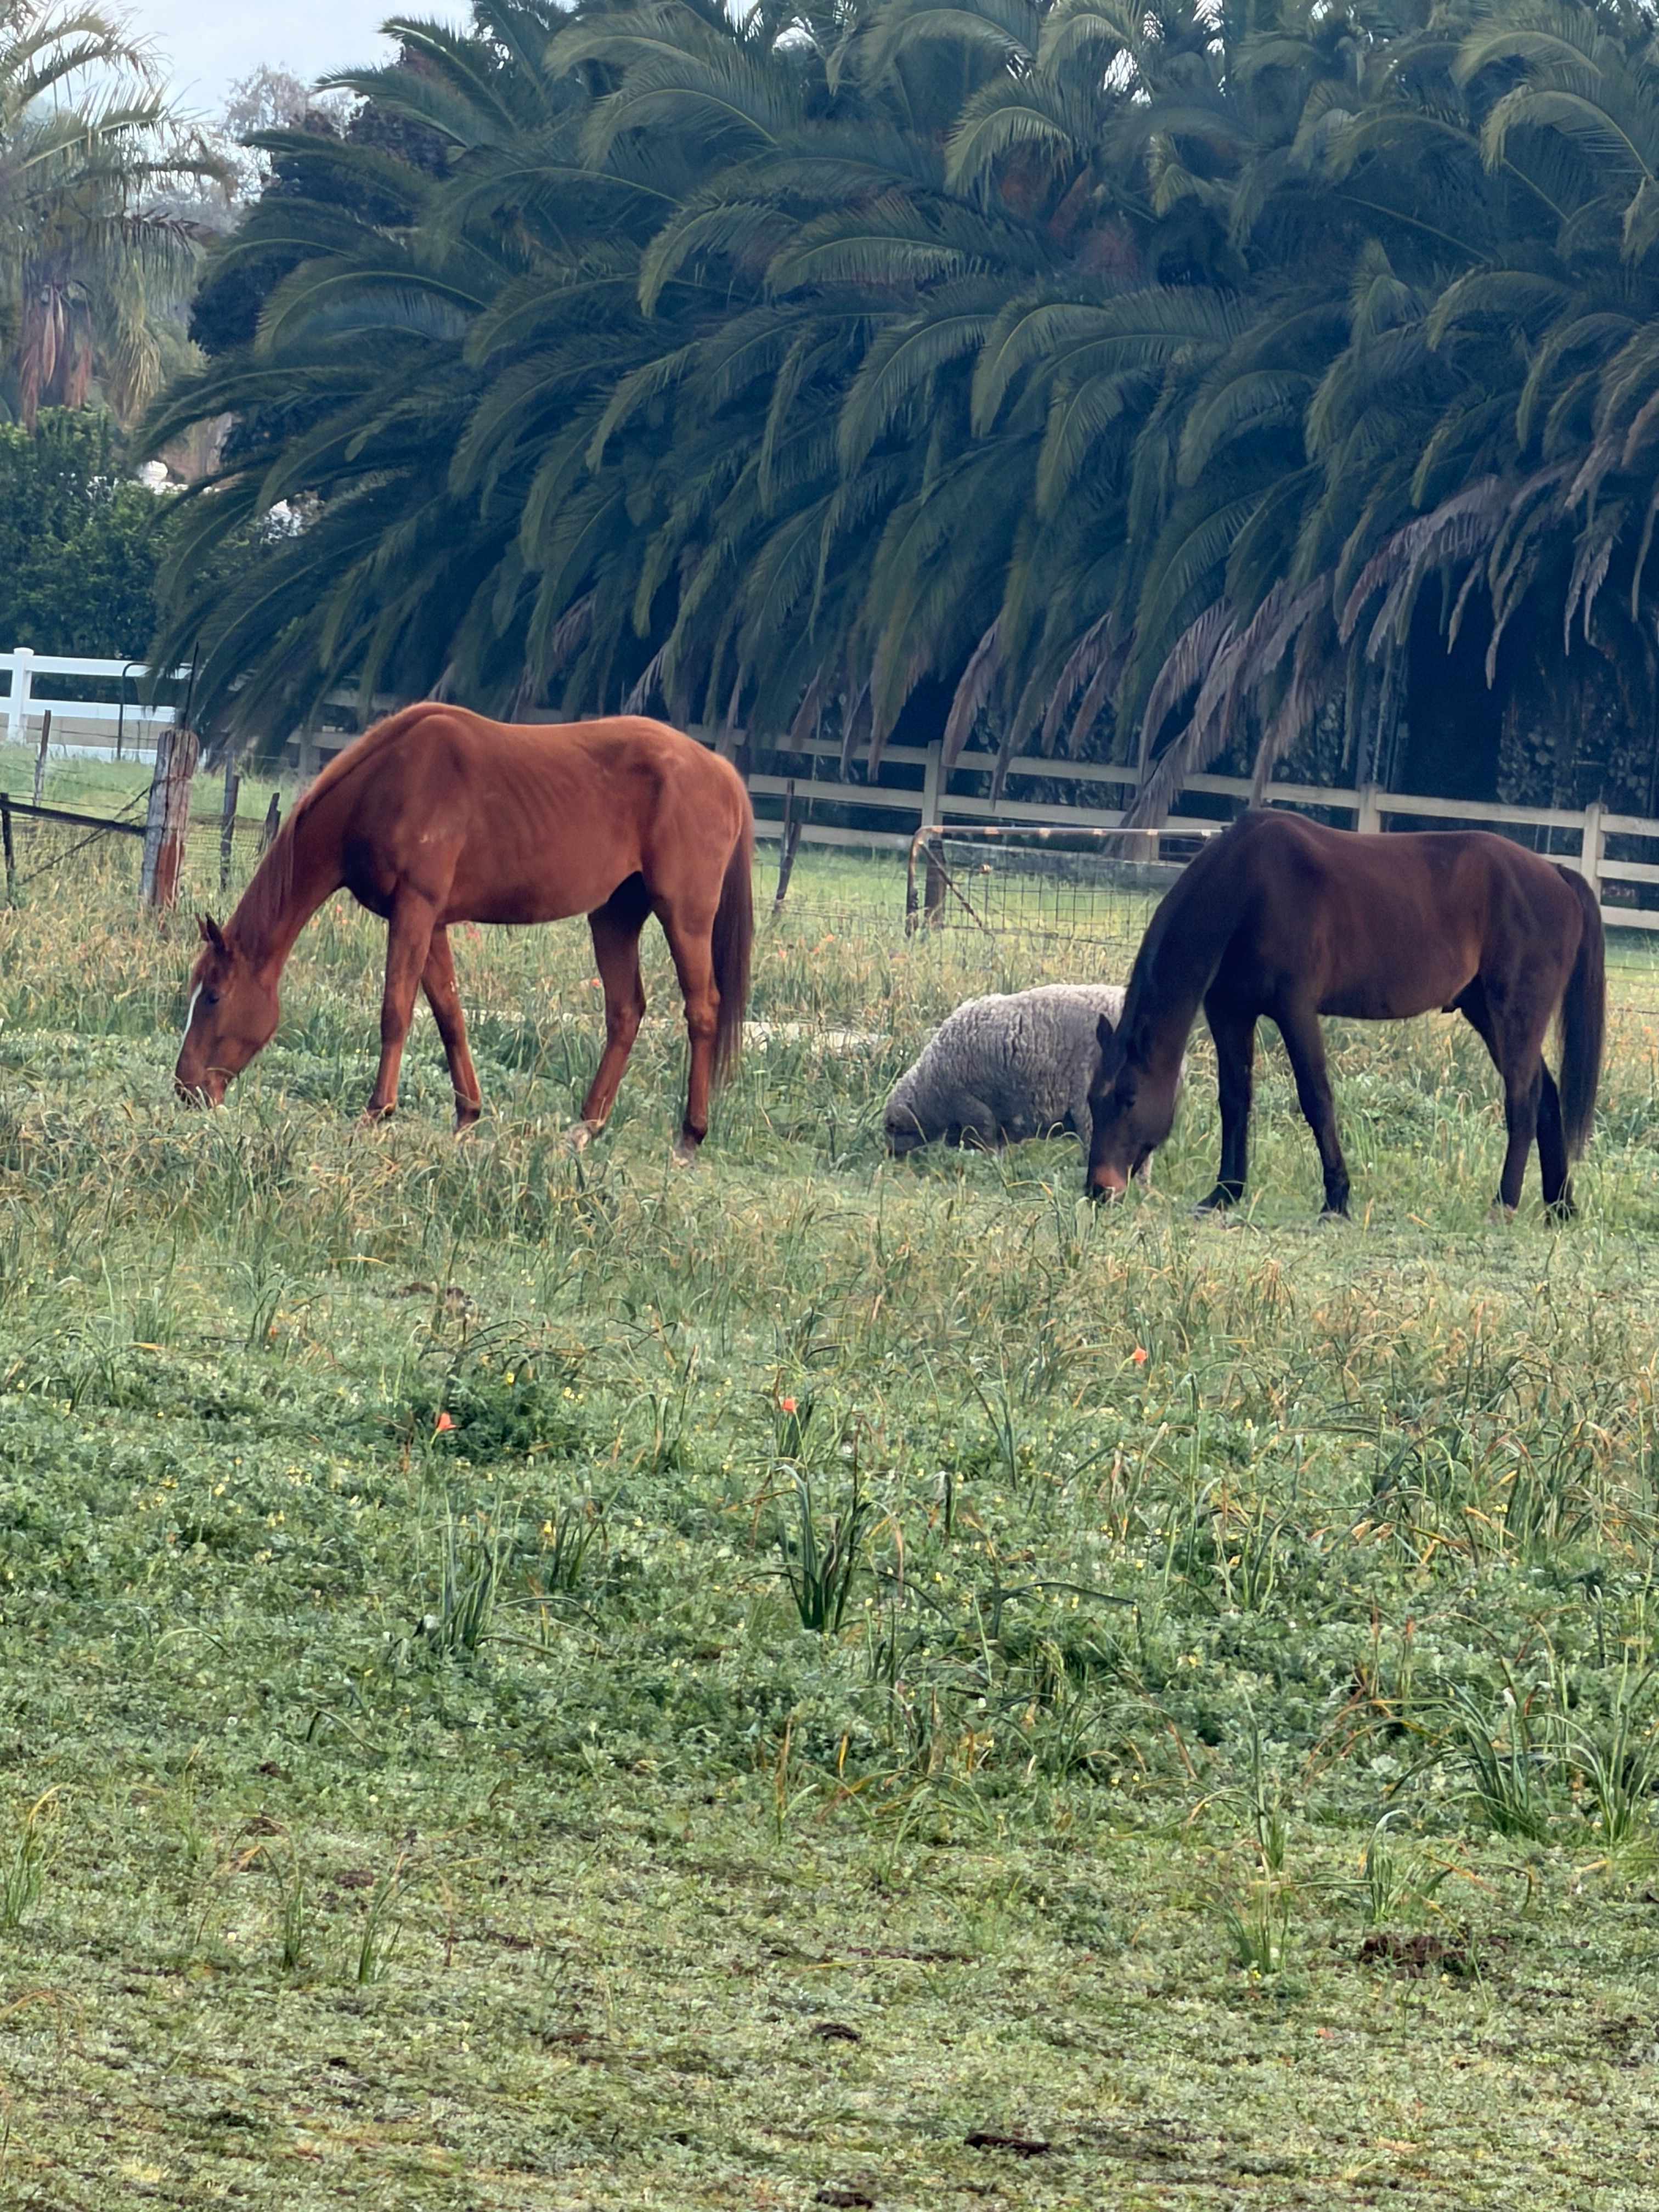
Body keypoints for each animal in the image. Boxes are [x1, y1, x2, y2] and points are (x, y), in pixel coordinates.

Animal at [175, 705, 755, 1155]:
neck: (386, 784)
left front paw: (376, 1112)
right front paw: (468, 1114)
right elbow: (449, 1015)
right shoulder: (430, 924)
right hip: (614, 916)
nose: (186, 1089)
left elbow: (396, 1011)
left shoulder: (416, 910)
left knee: (703, 1010)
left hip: (684, 916)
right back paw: (585, 1128)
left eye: (213, 997)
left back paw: (690, 1137)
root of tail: (723, 770)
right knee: (626, 1012)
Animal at [1086, 809, 1606, 1220]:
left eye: (1129, 1099)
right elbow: (1235, 1100)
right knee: (1546, 1095)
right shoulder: (1228, 1011)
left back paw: (1506, 1201)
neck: (1247, 887)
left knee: (1524, 1099)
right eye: (1092, 1100)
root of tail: (1557, 874)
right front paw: (1225, 1193)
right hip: (1488, 1015)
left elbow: (1316, 1098)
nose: (1099, 1189)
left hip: (1514, 1014)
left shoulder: (1295, 1009)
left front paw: (1337, 1198)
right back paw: (1561, 1204)